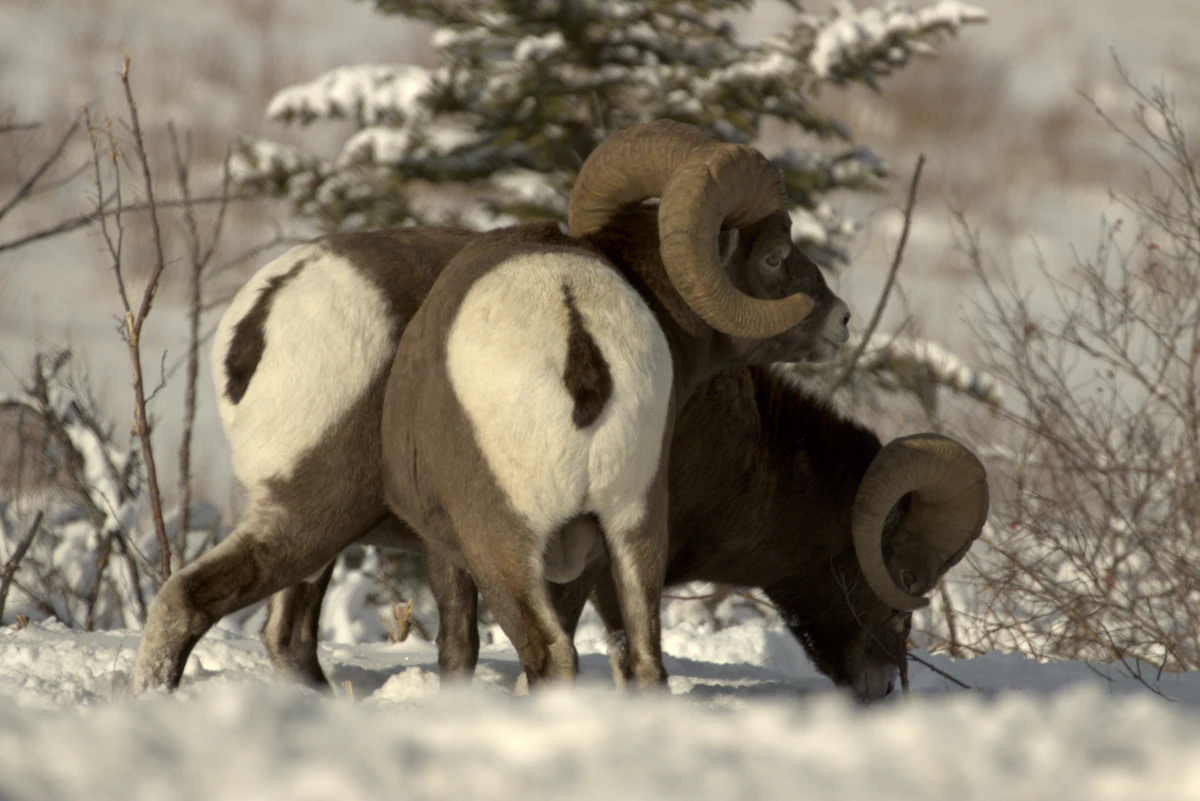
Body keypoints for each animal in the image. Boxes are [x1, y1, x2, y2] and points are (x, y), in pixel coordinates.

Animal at [131, 120, 850, 692]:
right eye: (777, 256)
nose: (840, 317)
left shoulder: (464, 546)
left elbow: (461, 648)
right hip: (584, 525)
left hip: (514, 530)